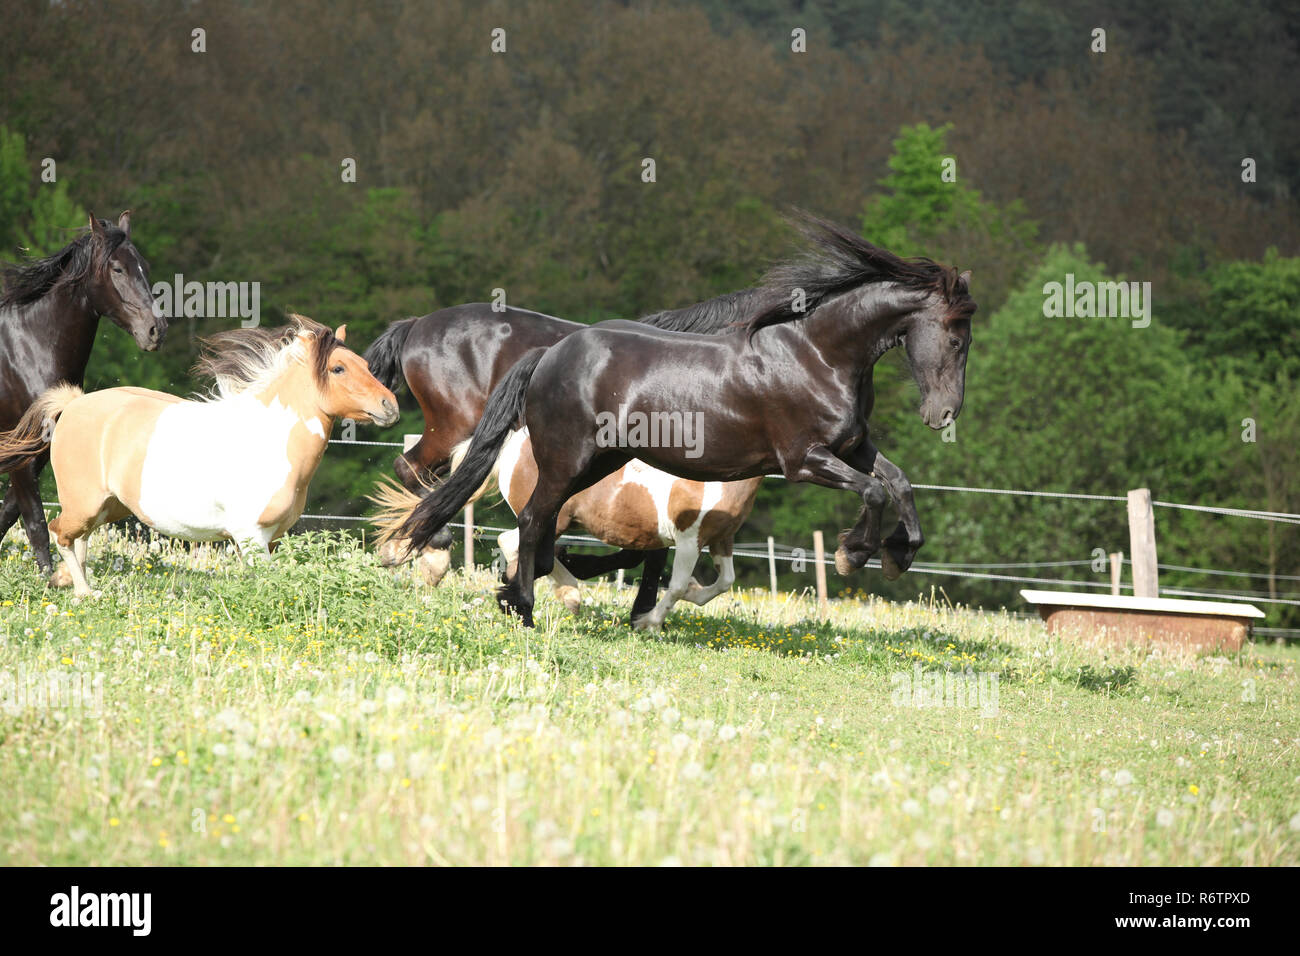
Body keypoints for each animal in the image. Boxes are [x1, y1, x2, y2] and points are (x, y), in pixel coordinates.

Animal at [0, 212, 164, 575]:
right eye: (117, 269)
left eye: (144, 265)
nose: (155, 330)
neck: (29, 348)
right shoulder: (22, 451)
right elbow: (34, 520)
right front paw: (51, 578)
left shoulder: (40, 450)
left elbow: (10, 512)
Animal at [0, 316, 397, 595]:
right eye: (338, 368)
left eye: (364, 364)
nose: (389, 406)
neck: (268, 439)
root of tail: (73, 404)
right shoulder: (250, 535)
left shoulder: (270, 538)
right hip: (84, 502)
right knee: (61, 533)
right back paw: (84, 591)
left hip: (109, 507)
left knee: (79, 538)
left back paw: (71, 582)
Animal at [373, 427, 762, 628]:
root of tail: (516, 441)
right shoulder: (688, 540)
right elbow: (678, 585)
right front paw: (649, 622)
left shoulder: (722, 541)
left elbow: (724, 582)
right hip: (552, 516)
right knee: (515, 541)